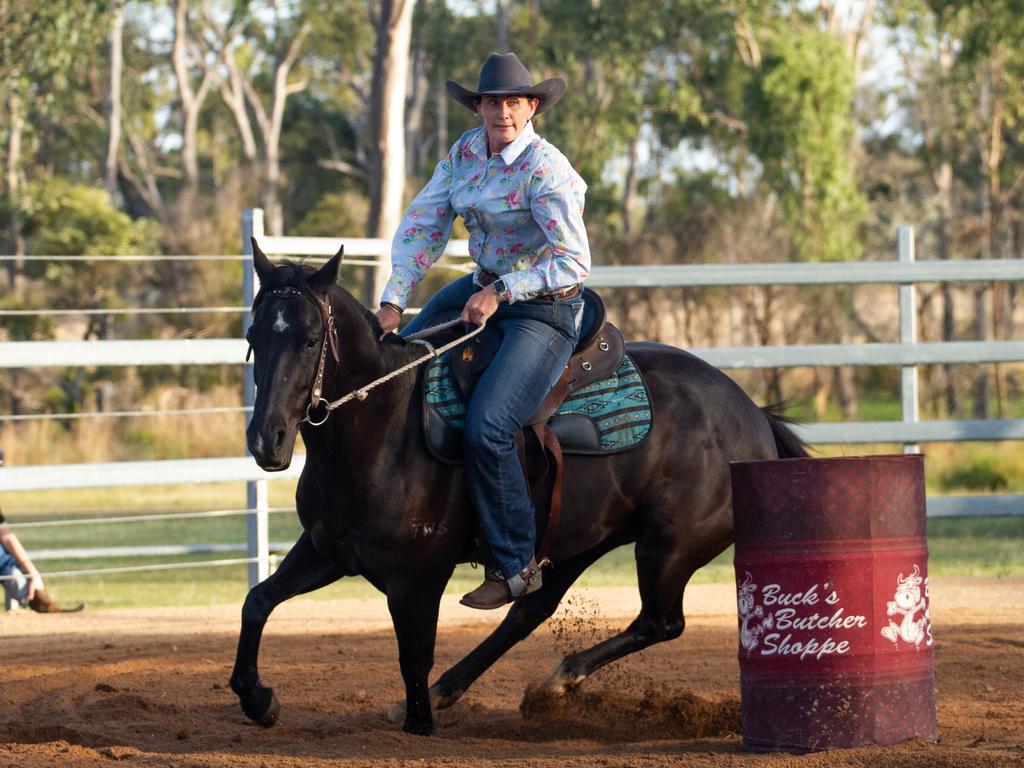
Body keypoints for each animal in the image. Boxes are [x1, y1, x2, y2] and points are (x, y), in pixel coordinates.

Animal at [230, 243, 806, 737]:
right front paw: (257, 698)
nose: (266, 439)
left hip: (669, 547)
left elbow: (413, 656)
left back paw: (557, 680)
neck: (383, 429)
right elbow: (257, 601)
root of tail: (754, 416)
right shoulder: (327, 550)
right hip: (577, 542)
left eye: (310, 340)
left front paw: (419, 724)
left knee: (660, 622)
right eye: (255, 336)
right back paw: (482, 688)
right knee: (531, 611)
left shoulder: (417, 580)